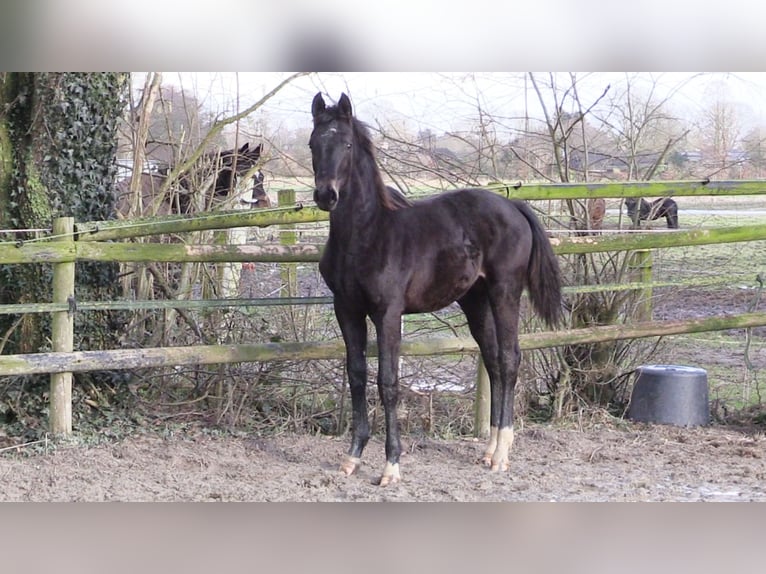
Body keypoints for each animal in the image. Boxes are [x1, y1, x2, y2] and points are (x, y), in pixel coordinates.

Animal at [310, 92, 564, 488]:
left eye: (347, 144)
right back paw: (489, 450)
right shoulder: (346, 309)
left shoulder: (387, 313)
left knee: (509, 359)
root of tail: (513, 205)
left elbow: (388, 382)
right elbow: (356, 376)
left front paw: (391, 466)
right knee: (493, 360)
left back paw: (502, 455)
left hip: (505, 291)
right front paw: (352, 458)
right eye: (313, 143)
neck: (368, 233)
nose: (326, 195)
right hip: (475, 300)